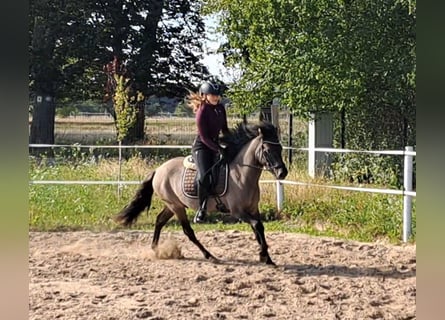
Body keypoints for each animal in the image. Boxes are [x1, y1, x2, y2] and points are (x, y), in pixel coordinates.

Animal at [114, 120, 288, 264]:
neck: (241, 174)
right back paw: (209, 255)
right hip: (176, 206)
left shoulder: (253, 209)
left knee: (159, 221)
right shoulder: (237, 211)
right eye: (266, 150)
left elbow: (259, 228)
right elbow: (257, 225)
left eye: (280, 148)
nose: (282, 173)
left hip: (172, 205)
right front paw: (264, 254)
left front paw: (266, 257)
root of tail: (158, 170)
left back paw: (156, 250)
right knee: (187, 231)